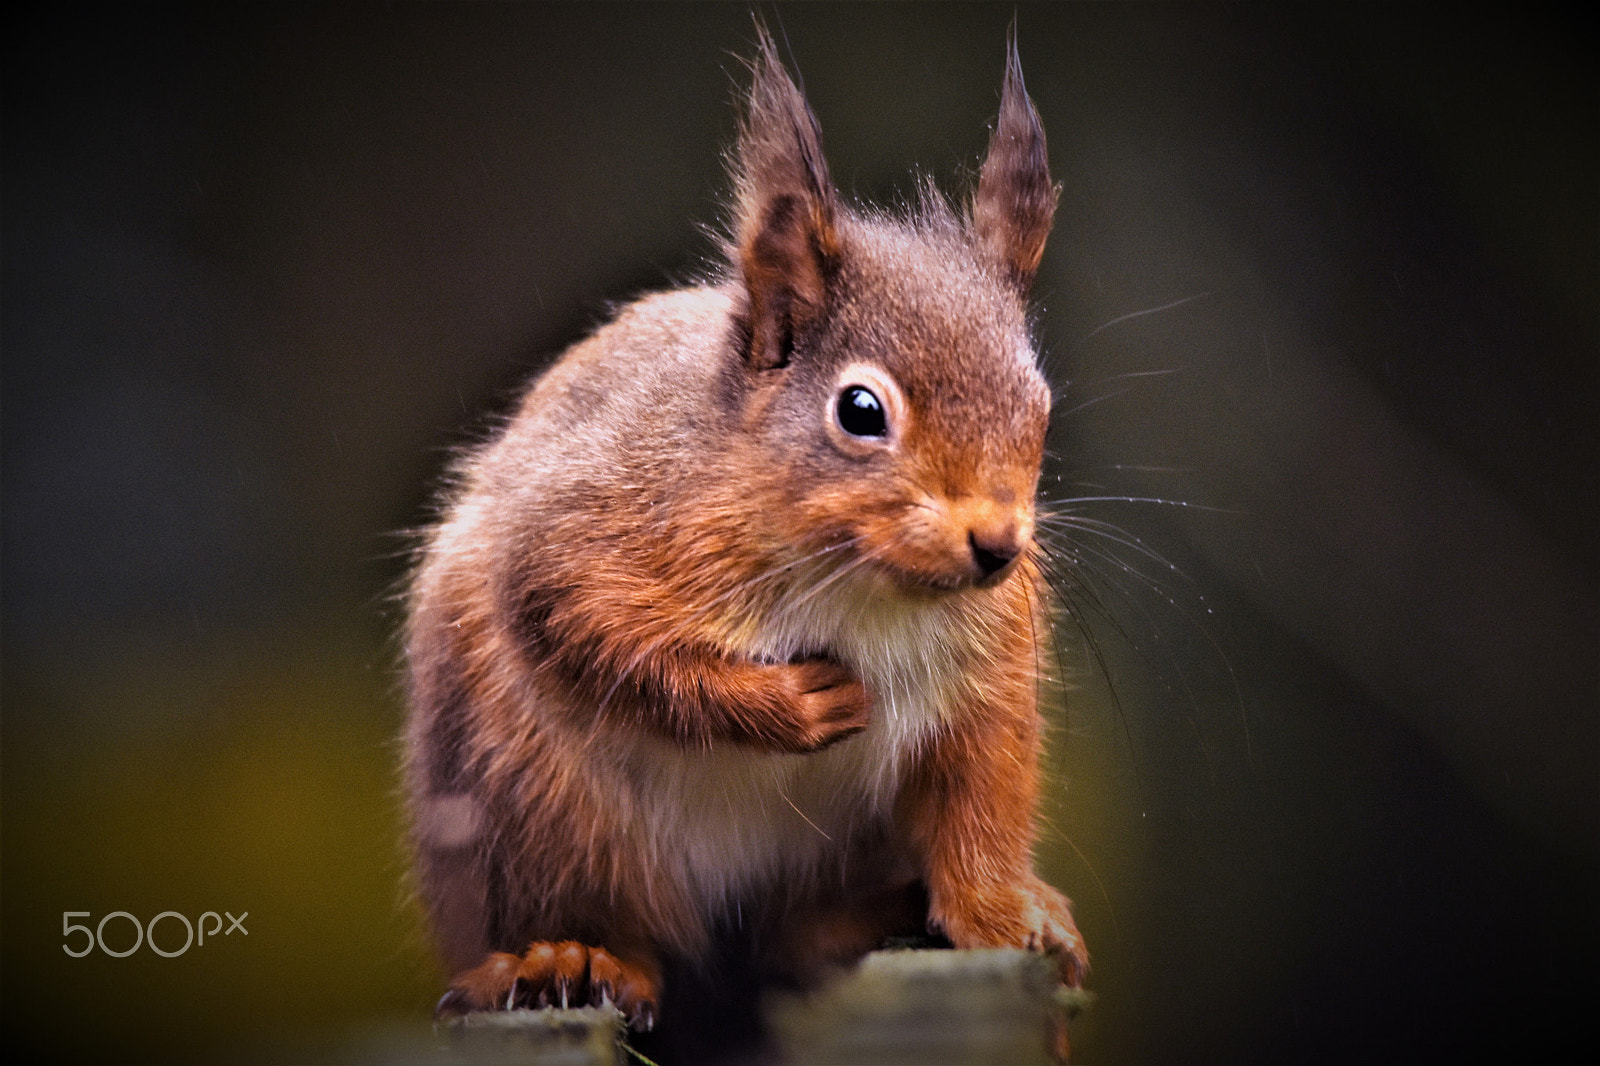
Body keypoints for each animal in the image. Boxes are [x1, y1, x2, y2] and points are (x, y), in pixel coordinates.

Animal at [406, 29, 1094, 1043]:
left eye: (1040, 402)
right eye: (860, 410)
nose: (999, 545)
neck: (856, 584)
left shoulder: (983, 685)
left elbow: (978, 815)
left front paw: (1007, 915)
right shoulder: (581, 531)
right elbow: (595, 633)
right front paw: (795, 706)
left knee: (794, 939)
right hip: (528, 807)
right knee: (613, 925)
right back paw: (565, 959)